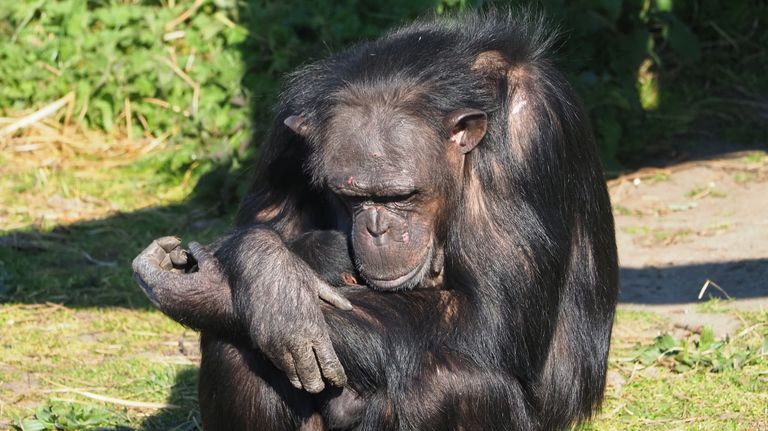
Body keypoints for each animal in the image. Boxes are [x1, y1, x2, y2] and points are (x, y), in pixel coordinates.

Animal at [132, 10, 620, 431]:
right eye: (353, 197)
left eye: (401, 196)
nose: (378, 228)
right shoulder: (287, 127)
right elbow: (263, 221)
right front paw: (272, 277)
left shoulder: (524, 141)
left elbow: (490, 320)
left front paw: (209, 291)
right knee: (233, 348)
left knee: (446, 385)